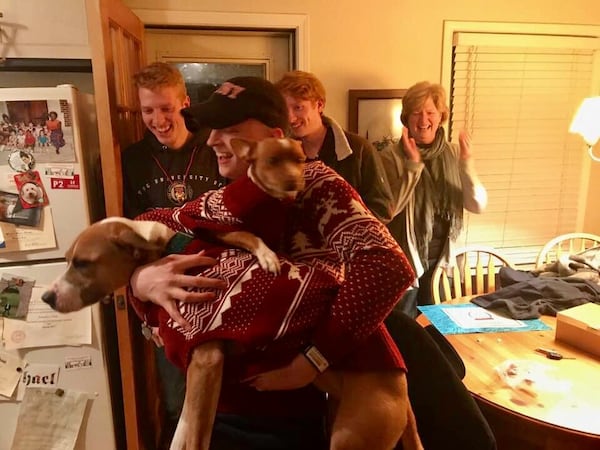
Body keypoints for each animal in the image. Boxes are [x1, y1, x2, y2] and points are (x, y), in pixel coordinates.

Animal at [41, 137, 422, 450]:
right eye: (68, 259)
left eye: (83, 263)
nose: (46, 298)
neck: (167, 249)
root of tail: (403, 390)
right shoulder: (196, 373)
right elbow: (181, 435)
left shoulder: (207, 361)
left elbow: (196, 439)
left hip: (352, 436)